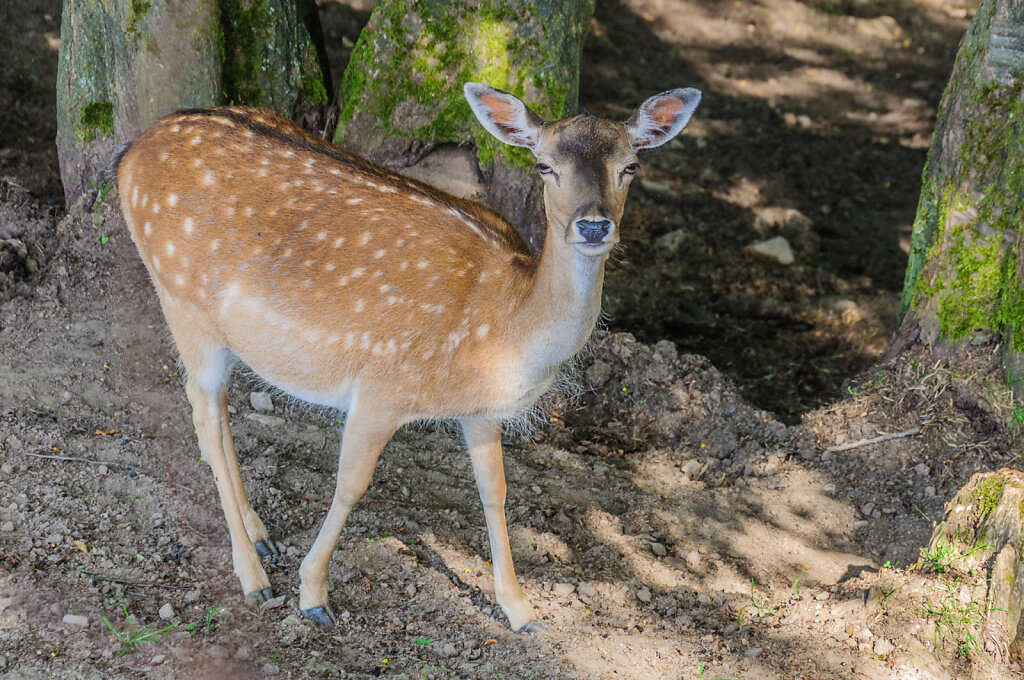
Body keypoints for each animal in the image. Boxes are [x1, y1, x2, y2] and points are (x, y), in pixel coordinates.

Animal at [115, 82, 701, 632]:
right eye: (544, 165)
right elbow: (350, 485)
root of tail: (128, 154)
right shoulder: (382, 387)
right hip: (182, 301)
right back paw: (254, 577)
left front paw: (520, 609)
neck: (504, 331)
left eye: (630, 166)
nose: (594, 225)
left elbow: (495, 491)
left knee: (218, 416)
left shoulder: (481, 411)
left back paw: (261, 538)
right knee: (204, 418)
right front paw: (313, 596)